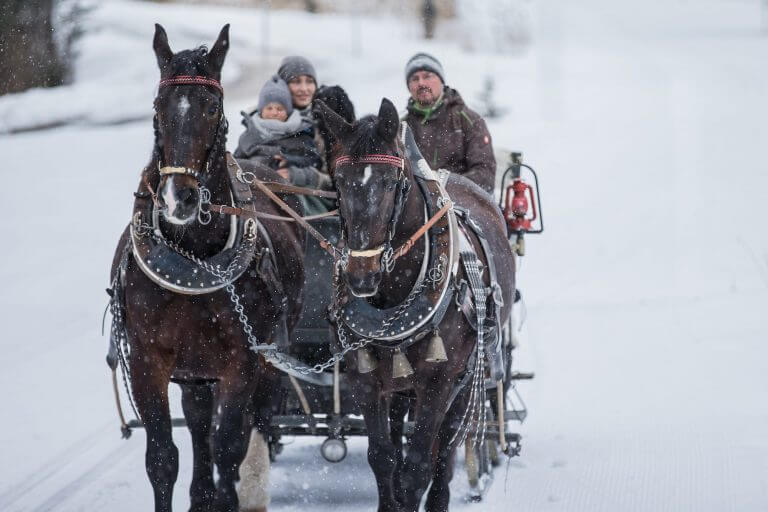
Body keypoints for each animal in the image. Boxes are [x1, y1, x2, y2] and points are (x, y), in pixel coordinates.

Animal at [109, 25, 304, 512]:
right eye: (158, 106)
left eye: (212, 107)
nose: (178, 197)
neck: (191, 257)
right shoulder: (147, 359)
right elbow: (163, 457)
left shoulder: (242, 361)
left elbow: (229, 446)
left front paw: (227, 492)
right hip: (195, 368)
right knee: (198, 422)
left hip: (266, 362)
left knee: (251, 424)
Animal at [318, 98, 516, 510]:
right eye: (338, 182)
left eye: (391, 182)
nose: (361, 276)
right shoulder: (364, 378)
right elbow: (382, 458)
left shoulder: (439, 380)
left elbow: (419, 466)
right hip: (399, 382)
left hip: (466, 378)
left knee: (447, 450)